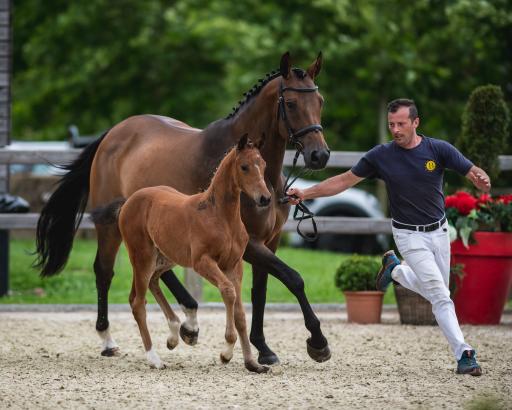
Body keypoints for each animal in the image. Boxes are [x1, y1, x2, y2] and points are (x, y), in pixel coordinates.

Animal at [91, 135, 272, 372]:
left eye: (264, 165)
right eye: (244, 167)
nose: (265, 198)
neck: (219, 216)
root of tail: (128, 201)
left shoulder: (234, 265)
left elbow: (241, 313)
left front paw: (252, 363)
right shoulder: (202, 262)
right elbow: (228, 291)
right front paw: (226, 352)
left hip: (165, 257)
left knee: (151, 284)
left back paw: (174, 334)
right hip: (142, 256)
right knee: (138, 302)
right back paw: (154, 358)